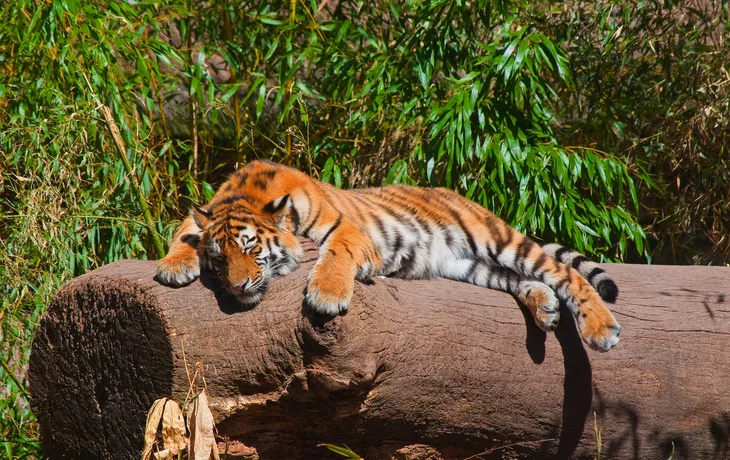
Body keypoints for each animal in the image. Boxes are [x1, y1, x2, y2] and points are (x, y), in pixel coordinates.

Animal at [155, 160, 620, 350]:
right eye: (220, 259)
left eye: (251, 247)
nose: (236, 288)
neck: (246, 193)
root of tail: (460, 195)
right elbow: (184, 230)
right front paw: (173, 266)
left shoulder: (348, 230)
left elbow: (336, 254)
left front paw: (326, 295)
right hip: (472, 266)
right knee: (526, 281)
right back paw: (545, 308)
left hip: (498, 240)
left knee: (565, 273)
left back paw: (601, 329)